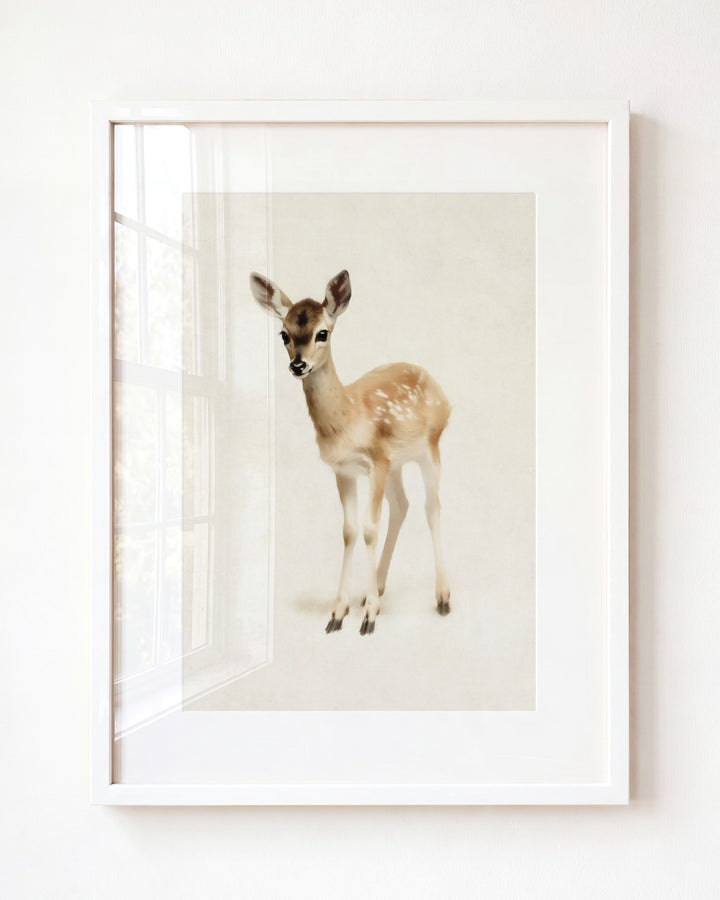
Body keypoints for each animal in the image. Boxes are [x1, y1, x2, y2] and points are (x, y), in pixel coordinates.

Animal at [250, 269, 451, 635]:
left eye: (322, 333)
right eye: (284, 333)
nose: (298, 365)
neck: (347, 421)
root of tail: (440, 389)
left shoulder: (377, 460)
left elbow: (370, 528)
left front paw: (369, 618)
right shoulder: (345, 469)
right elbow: (350, 531)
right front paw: (338, 612)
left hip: (429, 446)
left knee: (432, 506)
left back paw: (442, 597)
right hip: (397, 463)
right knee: (402, 505)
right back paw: (377, 589)